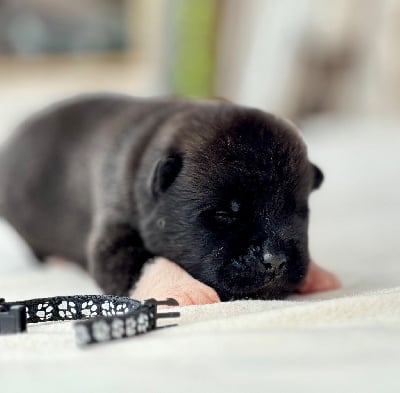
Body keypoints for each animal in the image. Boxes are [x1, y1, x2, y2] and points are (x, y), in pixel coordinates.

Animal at [0, 95, 340, 304]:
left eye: (297, 212)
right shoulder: (114, 235)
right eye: (223, 215)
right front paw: (185, 288)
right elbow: (145, 260)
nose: (276, 260)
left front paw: (317, 273)